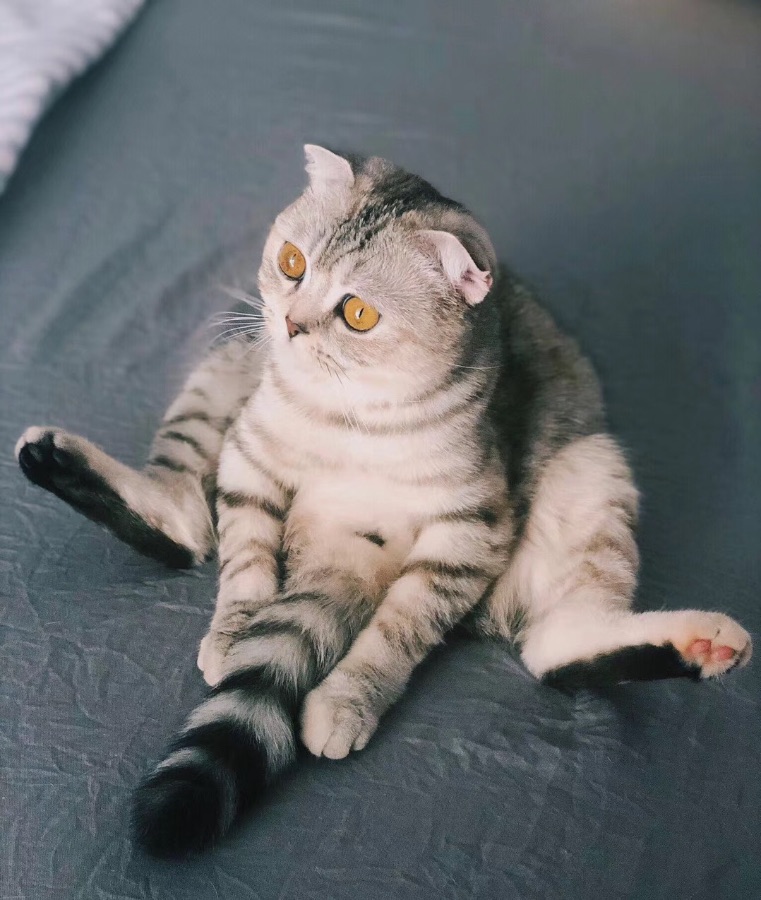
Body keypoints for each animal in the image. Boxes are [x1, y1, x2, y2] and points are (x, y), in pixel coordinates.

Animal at [15, 145, 752, 857]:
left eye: (358, 313)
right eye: (291, 262)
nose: (290, 323)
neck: (350, 424)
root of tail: (346, 546)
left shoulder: (469, 529)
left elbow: (394, 635)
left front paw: (345, 699)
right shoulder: (249, 460)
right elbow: (245, 565)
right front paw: (234, 633)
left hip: (591, 472)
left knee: (553, 651)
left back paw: (697, 646)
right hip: (227, 370)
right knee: (187, 524)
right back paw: (58, 463)